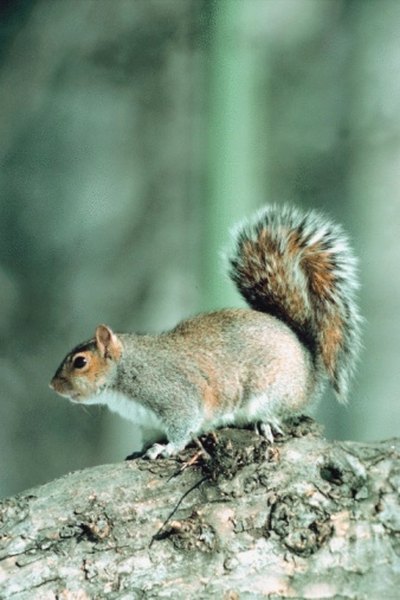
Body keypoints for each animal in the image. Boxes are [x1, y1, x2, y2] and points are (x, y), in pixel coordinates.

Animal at [48, 204, 360, 458]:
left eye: (80, 362)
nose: (52, 386)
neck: (125, 374)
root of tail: (308, 357)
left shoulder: (174, 396)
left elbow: (183, 426)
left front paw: (166, 449)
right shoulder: (148, 422)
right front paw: (142, 449)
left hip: (273, 391)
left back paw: (265, 422)